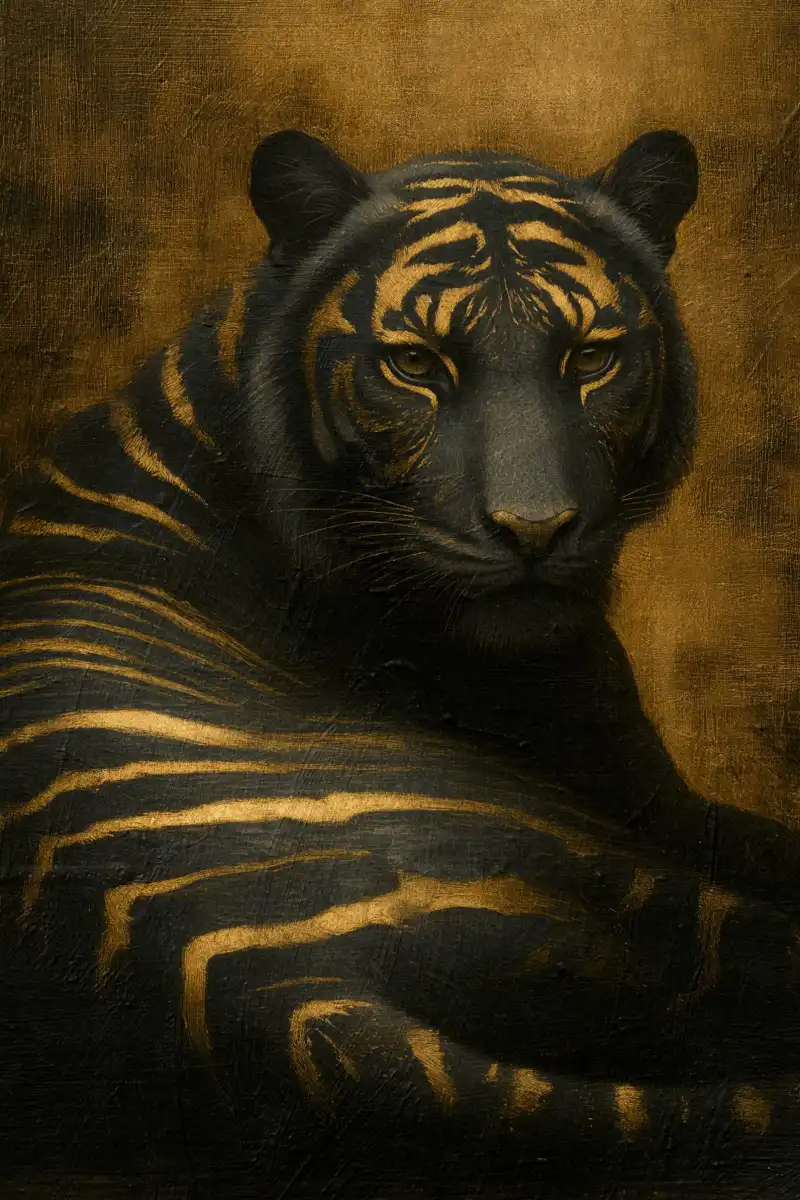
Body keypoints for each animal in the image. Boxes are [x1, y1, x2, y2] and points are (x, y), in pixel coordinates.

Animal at [2, 126, 800, 1199]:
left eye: (591, 357)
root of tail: (290, 999)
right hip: (593, 865)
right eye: (417, 364)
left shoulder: (657, 794)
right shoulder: (640, 814)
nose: (534, 529)